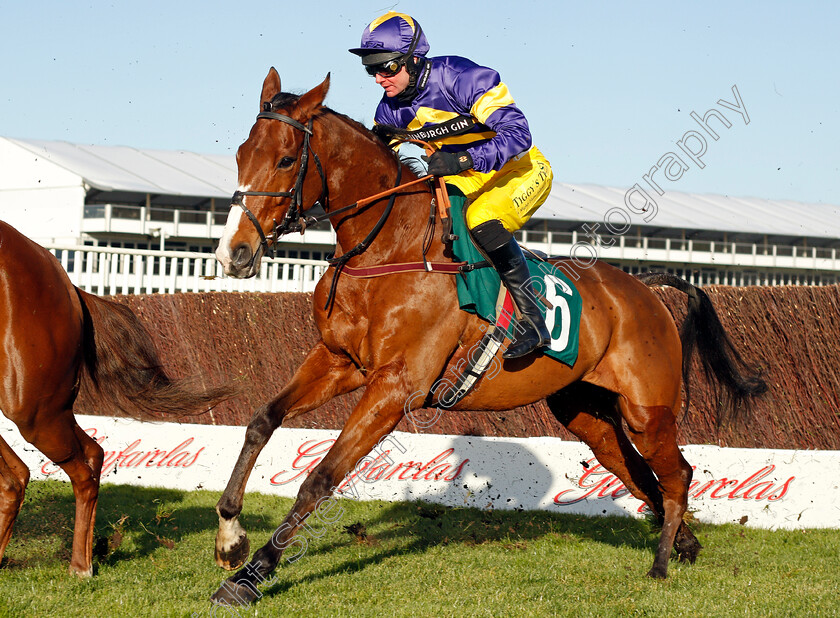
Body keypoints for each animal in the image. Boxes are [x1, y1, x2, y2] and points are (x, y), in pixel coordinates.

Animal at [0, 220, 230, 572]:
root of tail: (68, 286)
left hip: (32, 411)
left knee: (62, 475)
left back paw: (81, 566)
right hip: (49, 408)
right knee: (71, 460)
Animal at [212, 67, 768, 600]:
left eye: (286, 160)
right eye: (240, 153)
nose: (233, 252)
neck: (389, 248)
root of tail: (643, 288)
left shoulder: (395, 388)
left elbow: (321, 478)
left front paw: (253, 575)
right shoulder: (337, 361)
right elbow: (262, 421)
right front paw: (230, 537)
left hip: (647, 411)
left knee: (677, 473)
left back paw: (661, 562)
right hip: (587, 414)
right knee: (640, 473)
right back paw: (685, 545)